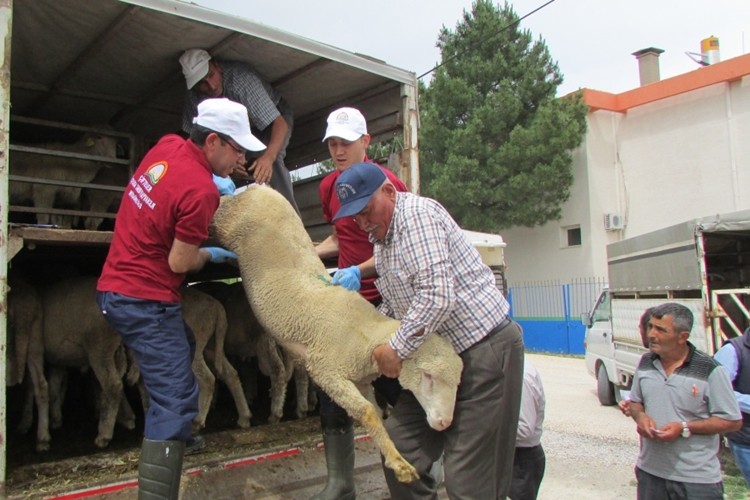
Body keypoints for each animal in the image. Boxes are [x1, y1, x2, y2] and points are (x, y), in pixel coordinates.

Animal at [212, 185, 464, 484]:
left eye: (458, 381)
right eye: (427, 375)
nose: (445, 423)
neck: (366, 335)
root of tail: (256, 187)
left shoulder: (361, 381)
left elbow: (373, 411)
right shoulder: (328, 372)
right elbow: (367, 413)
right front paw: (400, 464)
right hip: (227, 220)